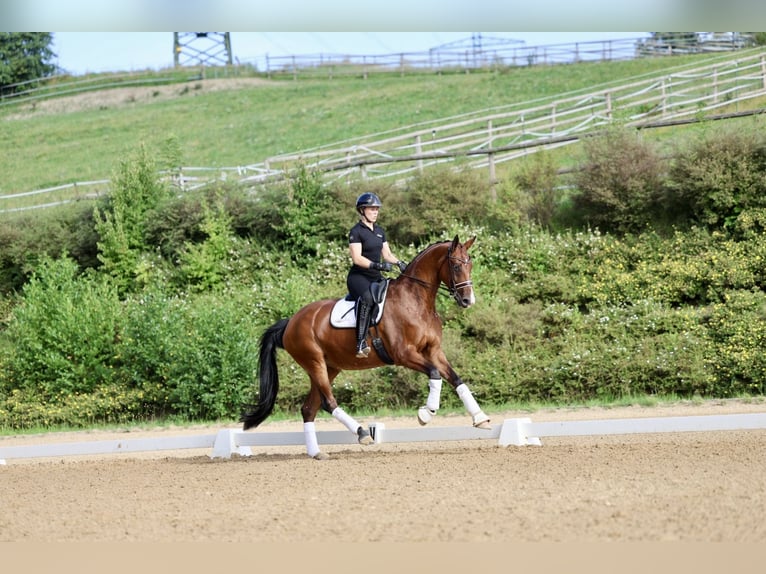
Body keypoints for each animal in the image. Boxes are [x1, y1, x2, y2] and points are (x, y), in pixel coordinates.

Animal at [242, 236, 492, 462]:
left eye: (470, 264)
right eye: (456, 266)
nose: (468, 300)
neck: (416, 301)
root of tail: (290, 322)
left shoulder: (434, 351)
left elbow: (456, 379)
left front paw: (480, 417)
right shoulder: (404, 354)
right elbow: (435, 374)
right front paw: (426, 413)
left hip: (329, 367)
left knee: (309, 408)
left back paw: (316, 453)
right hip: (314, 362)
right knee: (328, 402)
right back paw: (362, 433)